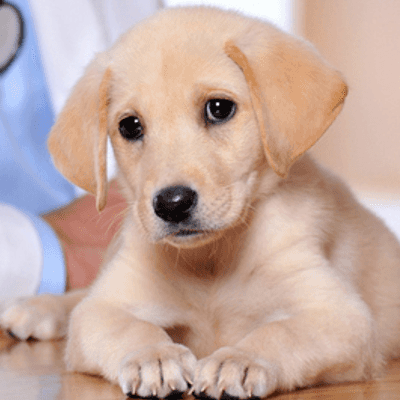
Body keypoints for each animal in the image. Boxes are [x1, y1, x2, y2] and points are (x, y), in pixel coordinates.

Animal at [1, 6, 400, 399]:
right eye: (130, 126)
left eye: (219, 108)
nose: (172, 204)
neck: (211, 262)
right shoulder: (103, 309)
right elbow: (130, 327)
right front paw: (154, 357)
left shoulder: (340, 316)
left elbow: (279, 332)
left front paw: (238, 360)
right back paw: (38, 305)